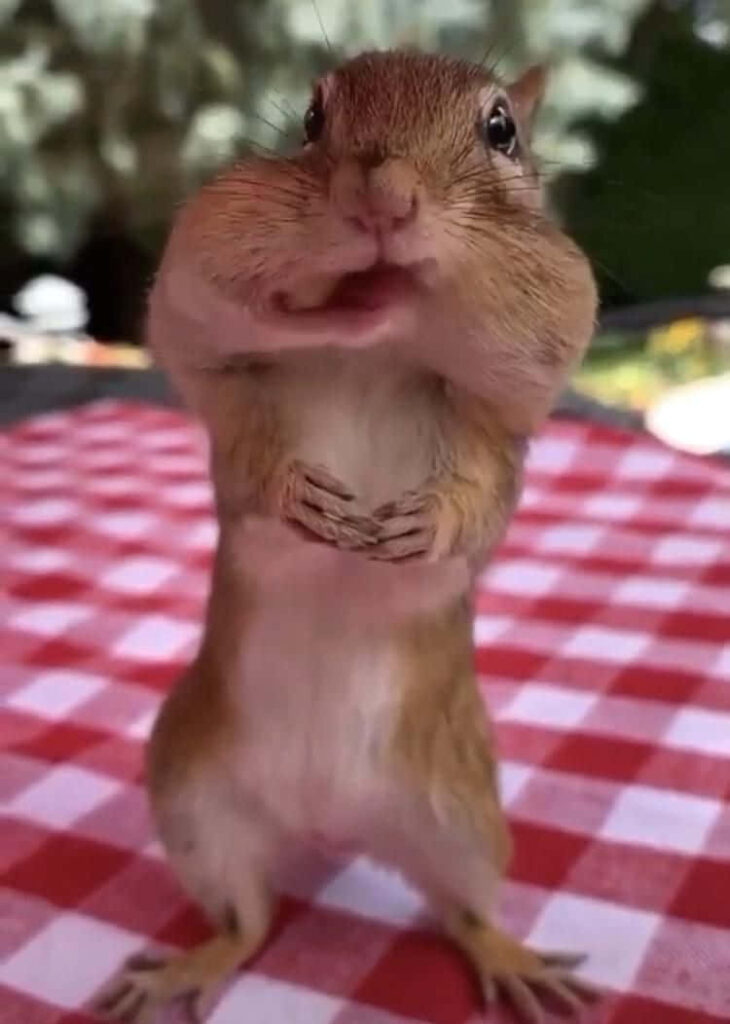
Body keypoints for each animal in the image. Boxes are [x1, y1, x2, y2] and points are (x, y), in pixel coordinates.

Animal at [97, 50, 598, 1024]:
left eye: (502, 130)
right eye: (310, 117)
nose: (383, 199)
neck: (376, 351)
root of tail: (326, 823)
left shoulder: (498, 438)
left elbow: (477, 503)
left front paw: (422, 521)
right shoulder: (232, 395)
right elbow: (253, 465)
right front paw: (301, 495)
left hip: (463, 823)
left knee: (465, 913)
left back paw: (516, 962)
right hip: (196, 809)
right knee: (246, 923)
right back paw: (187, 970)